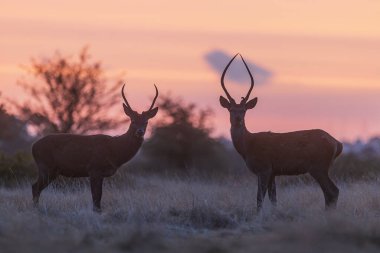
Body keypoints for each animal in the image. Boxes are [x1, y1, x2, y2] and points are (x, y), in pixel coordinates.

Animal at [31, 84, 159, 212]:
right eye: (132, 120)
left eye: (146, 122)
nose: (140, 131)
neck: (115, 149)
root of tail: (33, 147)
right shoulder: (94, 169)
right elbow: (96, 196)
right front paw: (96, 212)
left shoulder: (100, 174)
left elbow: (98, 197)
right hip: (46, 167)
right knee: (35, 187)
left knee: (36, 187)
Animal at [218, 53, 342, 211]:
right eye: (231, 109)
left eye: (244, 110)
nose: (238, 119)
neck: (248, 146)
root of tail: (337, 144)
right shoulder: (273, 172)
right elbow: (273, 199)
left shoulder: (264, 168)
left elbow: (259, 199)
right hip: (321, 168)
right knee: (330, 193)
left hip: (318, 167)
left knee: (332, 191)